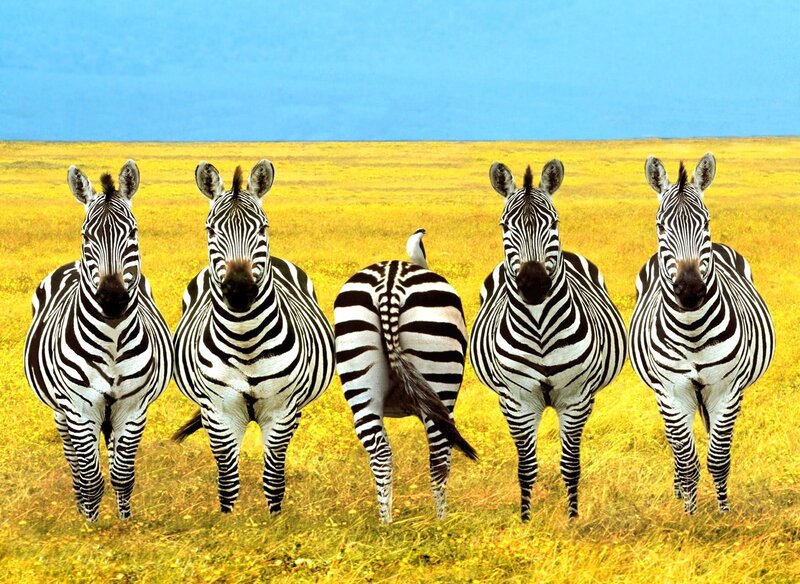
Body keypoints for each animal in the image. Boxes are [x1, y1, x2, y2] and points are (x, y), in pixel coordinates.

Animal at [24, 161, 173, 521]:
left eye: (133, 233)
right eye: (86, 236)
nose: (112, 298)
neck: (113, 340)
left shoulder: (133, 408)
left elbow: (122, 474)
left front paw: (124, 523)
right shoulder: (79, 408)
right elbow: (90, 477)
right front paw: (89, 525)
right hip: (62, 412)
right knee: (75, 463)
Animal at [171, 160, 335, 515]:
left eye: (263, 227)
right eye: (210, 230)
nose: (240, 290)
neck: (245, 341)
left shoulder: (281, 411)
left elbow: (273, 478)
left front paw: (275, 521)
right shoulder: (219, 411)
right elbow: (227, 480)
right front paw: (228, 522)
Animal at [333, 228, 477, 523]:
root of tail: (390, 280)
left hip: (358, 371)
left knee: (380, 453)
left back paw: (386, 524)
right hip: (440, 378)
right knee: (439, 455)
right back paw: (441, 523)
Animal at [470, 160, 626, 520]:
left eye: (553, 222)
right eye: (504, 226)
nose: (533, 283)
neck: (540, 328)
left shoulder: (576, 399)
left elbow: (570, 465)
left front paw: (572, 519)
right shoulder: (517, 401)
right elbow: (526, 467)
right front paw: (526, 519)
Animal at [629, 153, 775, 514]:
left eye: (705, 222)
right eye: (660, 226)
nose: (691, 289)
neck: (692, 328)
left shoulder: (727, 390)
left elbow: (718, 458)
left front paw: (723, 514)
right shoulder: (672, 391)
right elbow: (687, 460)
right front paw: (690, 515)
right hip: (664, 395)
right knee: (676, 447)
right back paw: (679, 492)